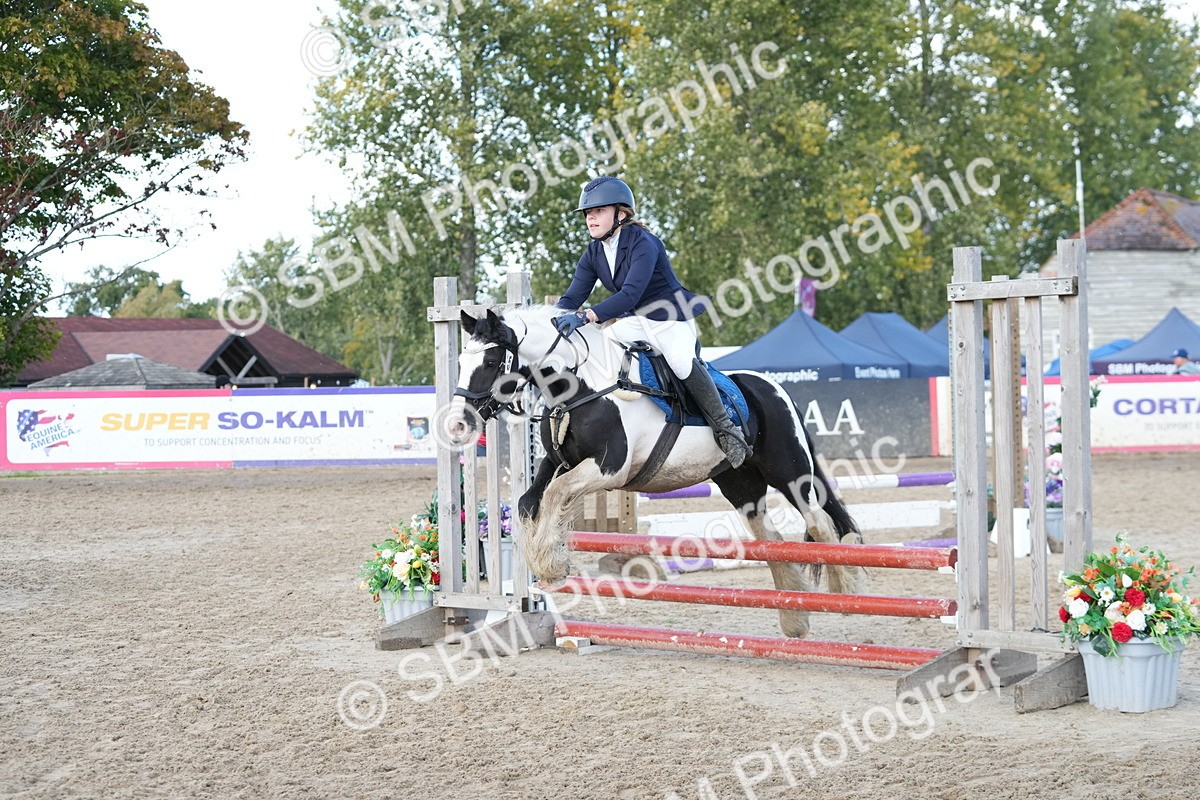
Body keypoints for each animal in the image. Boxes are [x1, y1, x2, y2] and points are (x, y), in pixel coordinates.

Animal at [452, 305, 866, 639]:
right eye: (459, 362)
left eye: (491, 363)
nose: (459, 424)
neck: (580, 386)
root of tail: (775, 387)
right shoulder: (558, 463)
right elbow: (527, 502)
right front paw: (546, 564)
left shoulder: (608, 469)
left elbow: (555, 495)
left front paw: (552, 566)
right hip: (741, 484)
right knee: (773, 539)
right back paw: (795, 617)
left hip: (790, 472)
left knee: (819, 523)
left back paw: (846, 592)